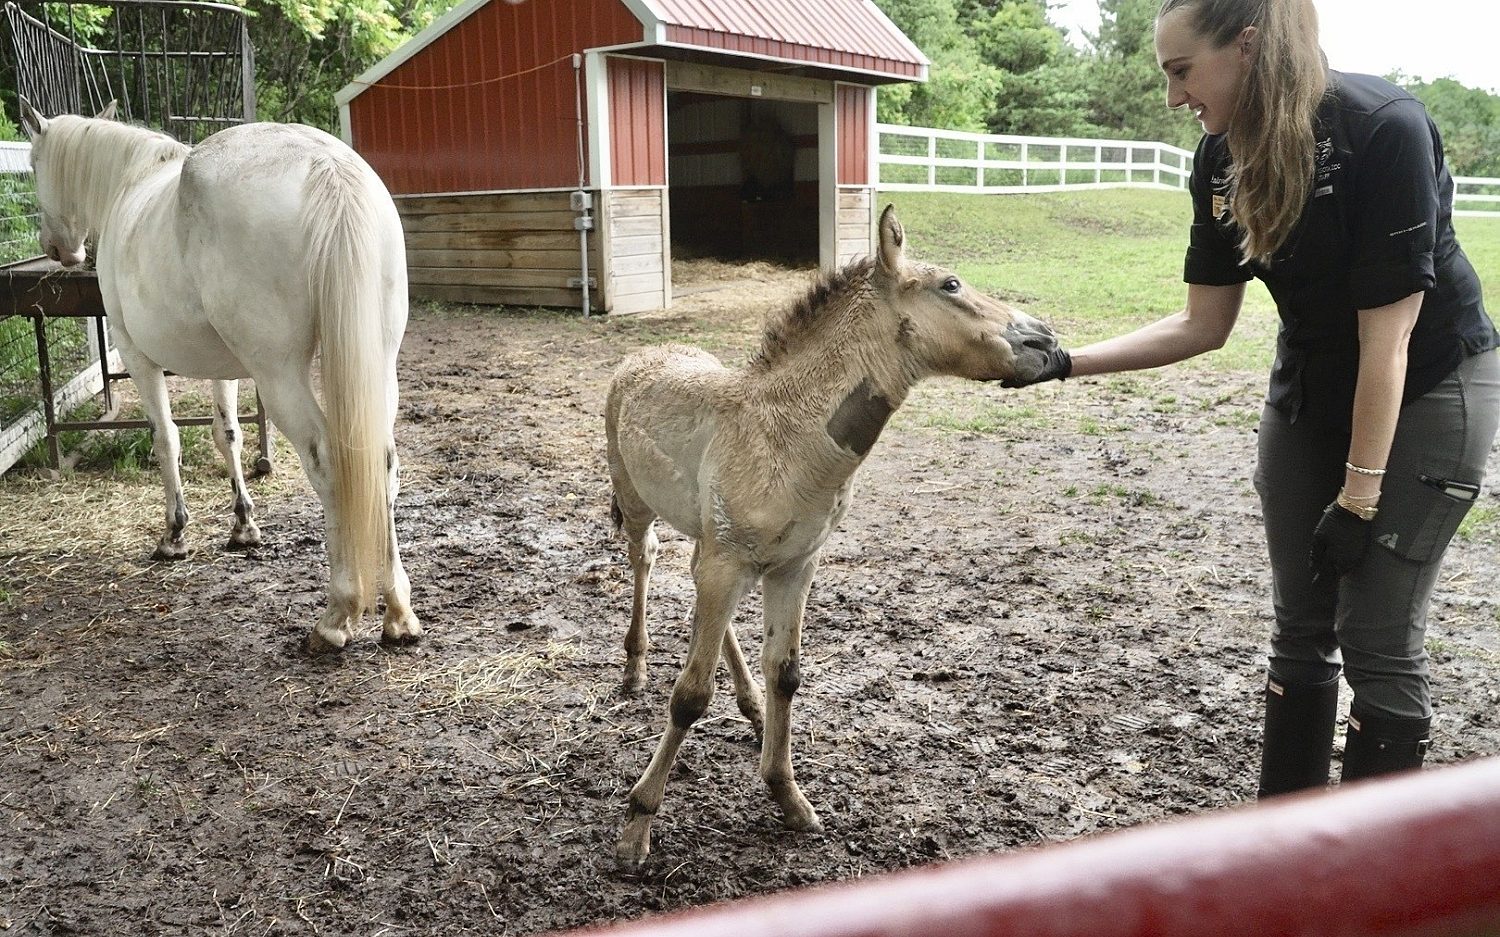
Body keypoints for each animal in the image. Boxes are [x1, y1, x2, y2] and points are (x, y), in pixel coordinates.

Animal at [20, 101, 420, 653]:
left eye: (34, 165)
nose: (59, 249)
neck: (130, 182)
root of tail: (328, 166)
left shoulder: (138, 356)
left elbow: (166, 439)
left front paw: (174, 535)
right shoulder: (225, 369)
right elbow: (227, 434)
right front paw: (243, 526)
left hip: (279, 374)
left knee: (328, 460)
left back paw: (337, 615)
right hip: (376, 365)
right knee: (381, 463)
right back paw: (398, 614)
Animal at [605, 204, 1060, 866]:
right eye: (950, 285)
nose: (1046, 341)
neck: (785, 437)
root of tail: (646, 353)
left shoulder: (795, 565)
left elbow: (785, 674)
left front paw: (789, 797)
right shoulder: (730, 563)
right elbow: (689, 695)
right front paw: (638, 824)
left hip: (712, 542)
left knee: (699, 597)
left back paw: (748, 703)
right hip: (640, 506)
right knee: (645, 560)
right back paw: (635, 669)